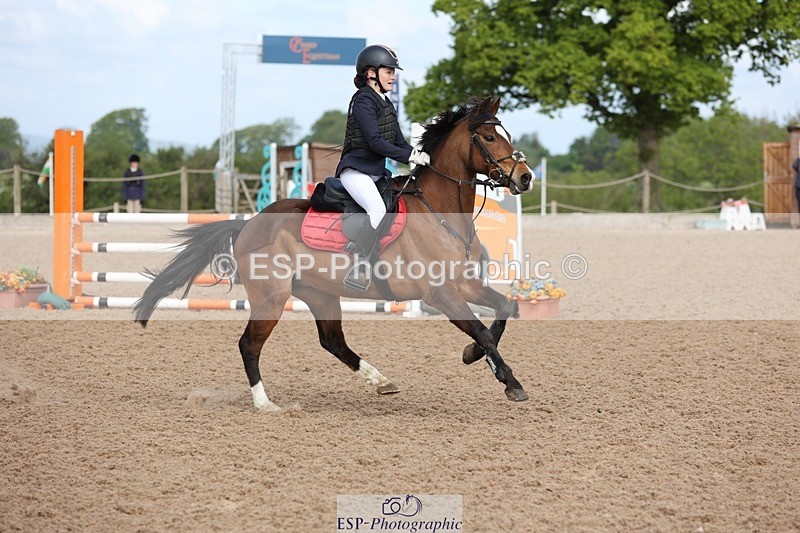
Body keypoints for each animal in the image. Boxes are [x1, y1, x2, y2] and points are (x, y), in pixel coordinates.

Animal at [134, 96, 535, 411]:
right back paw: (266, 404)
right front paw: (510, 381)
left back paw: (381, 381)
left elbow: (504, 309)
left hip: (319, 293)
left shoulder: (464, 285)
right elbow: (482, 331)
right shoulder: (439, 293)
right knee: (249, 344)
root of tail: (249, 224)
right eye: (489, 137)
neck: (440, 211)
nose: (526, 177)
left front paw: (474, 356)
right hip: (272, 297)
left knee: (332, 342)